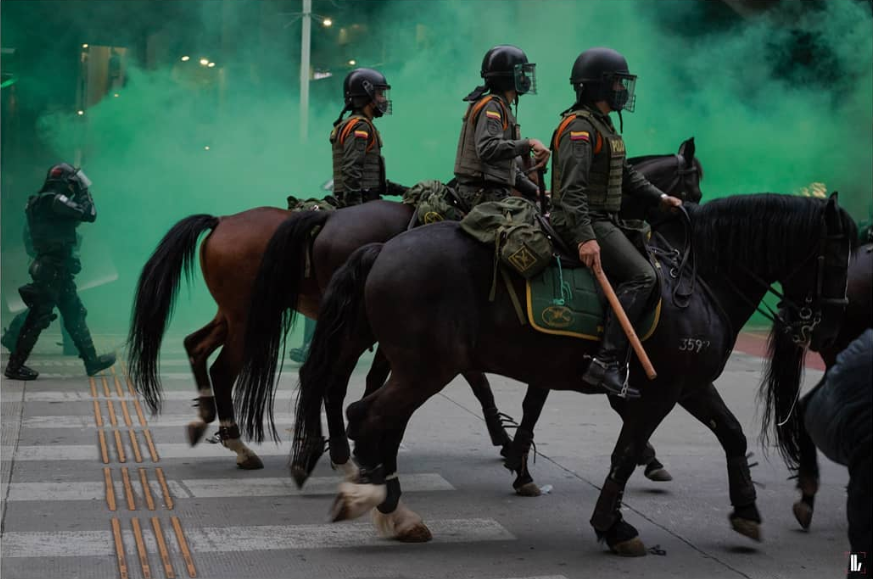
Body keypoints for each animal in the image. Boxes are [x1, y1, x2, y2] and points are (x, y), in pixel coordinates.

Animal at [286, 193, 852, 552]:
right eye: (837, 254)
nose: (830, 323)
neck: (696, 280)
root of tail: (384, 247)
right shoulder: (660, 391)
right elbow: (625, 452)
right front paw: (613, 526)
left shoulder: (688, 385)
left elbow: (731, 434)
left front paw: (747, 511)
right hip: (426, 368)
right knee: (366, 414)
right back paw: (374, 497)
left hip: (416, 366)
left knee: (380, 418)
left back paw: (389, 503)